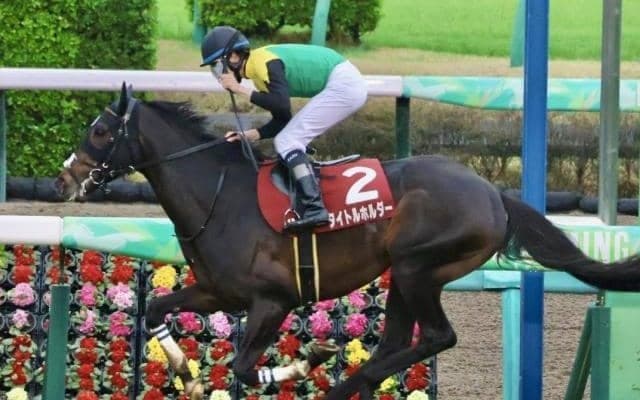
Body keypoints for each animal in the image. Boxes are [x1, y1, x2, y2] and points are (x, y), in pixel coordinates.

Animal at [56, 84, 640, 400]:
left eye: (101, 132)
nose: (64, 180)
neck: (219, 197)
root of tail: (493, 193)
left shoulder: (272, 301)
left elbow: (244, 366)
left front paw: (303, 362)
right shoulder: (217, 291)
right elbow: (157, 307)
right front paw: (185, 371)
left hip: (417, 266)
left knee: (436, 337)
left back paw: (339, 382)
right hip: (405, 274)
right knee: (400, 341)